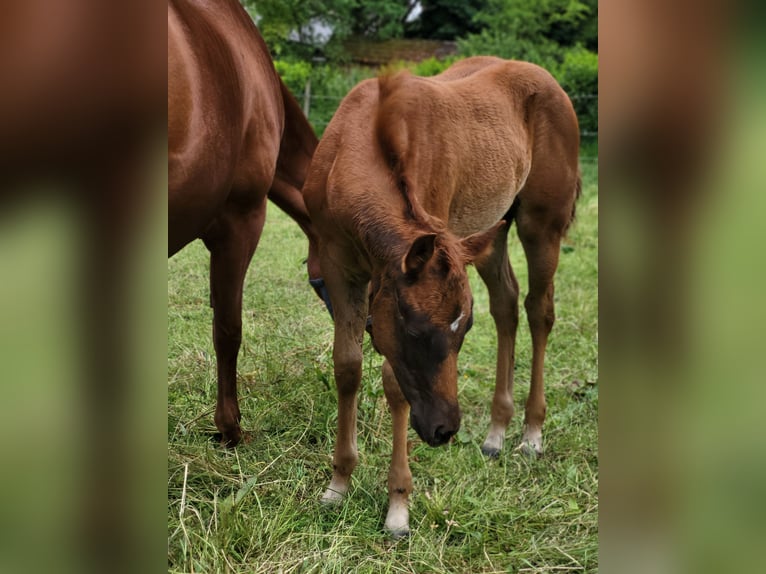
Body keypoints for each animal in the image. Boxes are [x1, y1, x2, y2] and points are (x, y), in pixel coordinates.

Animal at [303, 56, 581, 536]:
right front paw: (338, 485)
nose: (445, 430)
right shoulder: (343, 271)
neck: (358, 149)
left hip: (540, 224)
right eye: (415, 331)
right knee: (507, 304)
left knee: (539, 311)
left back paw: (531, 434)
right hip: (490, 231)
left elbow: (394, 383)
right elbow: (347, 367)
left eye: (464, 330)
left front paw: (398, 506)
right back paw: (495, 434)